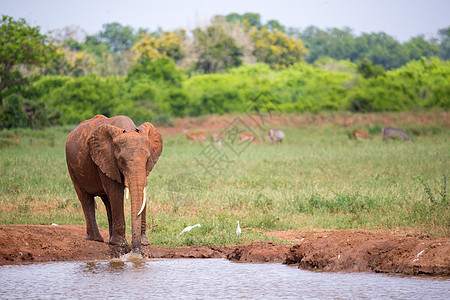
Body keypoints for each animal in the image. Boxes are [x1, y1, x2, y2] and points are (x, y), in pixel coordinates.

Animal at [66, 115, 164, 253]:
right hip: (71, 167)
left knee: (107, 201)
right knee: (86, 199)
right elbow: (116, 192)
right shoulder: (106, 159)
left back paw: (109, 240)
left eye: (148, 160)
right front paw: (121, 244)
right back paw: (96, 239)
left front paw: (144, 243)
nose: (136, 251)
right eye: (121, 161)